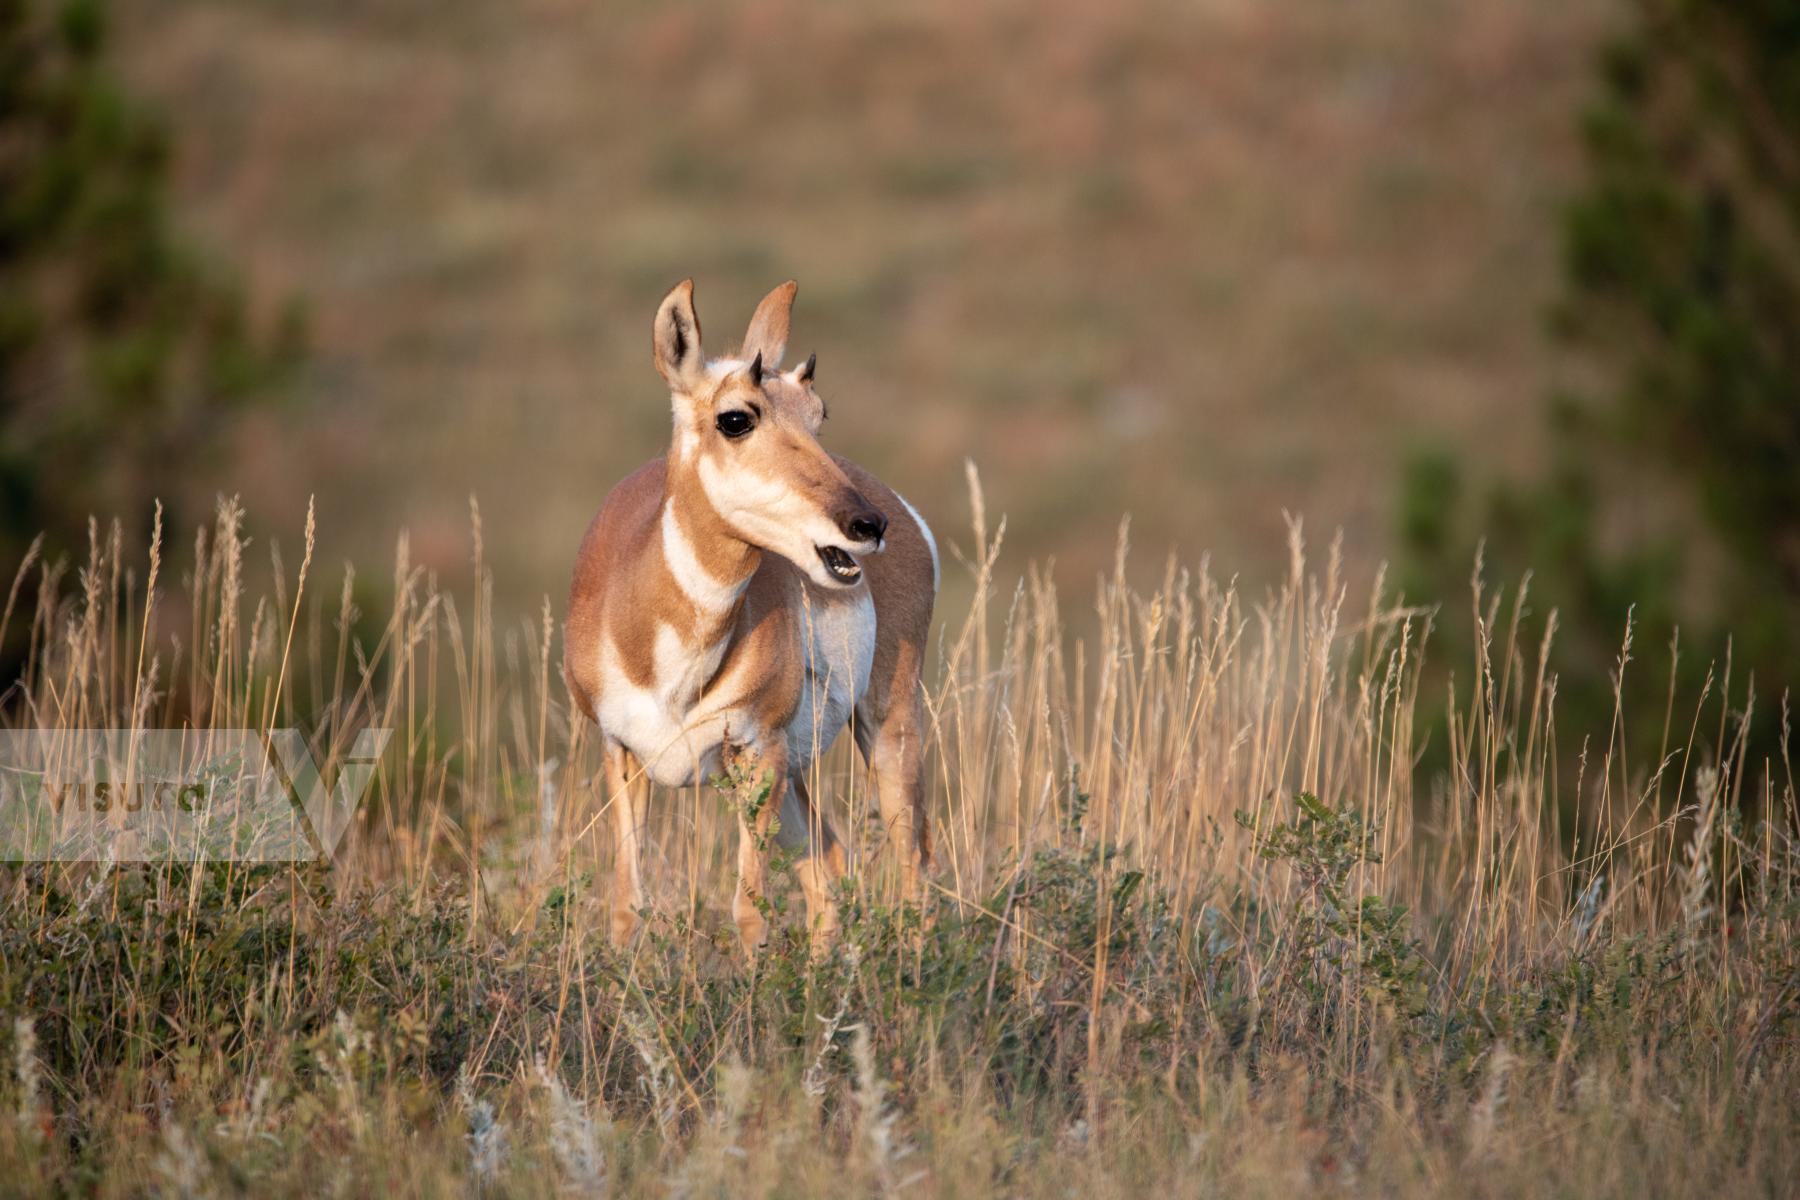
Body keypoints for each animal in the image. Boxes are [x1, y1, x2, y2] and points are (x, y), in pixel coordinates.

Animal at [565, 278, 943, 957]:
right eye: (736, 417)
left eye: (818, 415)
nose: (866, 525)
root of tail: (903, 506)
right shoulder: (619, 752)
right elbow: (628, 908)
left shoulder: (756, 751)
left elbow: (748, 911)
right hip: (796, 773)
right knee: (830, 864)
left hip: (887, 726)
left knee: (913, 862)